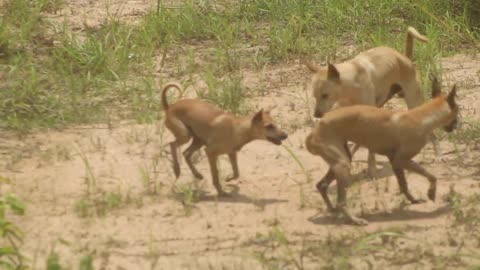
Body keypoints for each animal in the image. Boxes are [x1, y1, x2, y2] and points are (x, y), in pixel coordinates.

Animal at [304, 26, 438, 179]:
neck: (350, 84)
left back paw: (438, 155)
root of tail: (405, 57)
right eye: (315, 96)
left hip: (414, 102)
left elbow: (369, 151)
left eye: (325, 95)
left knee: (432, 132)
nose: (317, 114)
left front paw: (371, 169)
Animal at [306, 78, 460, 226]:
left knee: (322, 185)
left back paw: (333, 210)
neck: (422, 117)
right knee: (341, 202)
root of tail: (313, 132)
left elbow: (404, 185)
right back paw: (354, 220)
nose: (457, 125)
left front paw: (413, 200)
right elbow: (432, 176)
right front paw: (431, 192)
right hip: (343, 165)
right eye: (458, 112)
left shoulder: (395, 162)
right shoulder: (401, 160)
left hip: (342, 161)